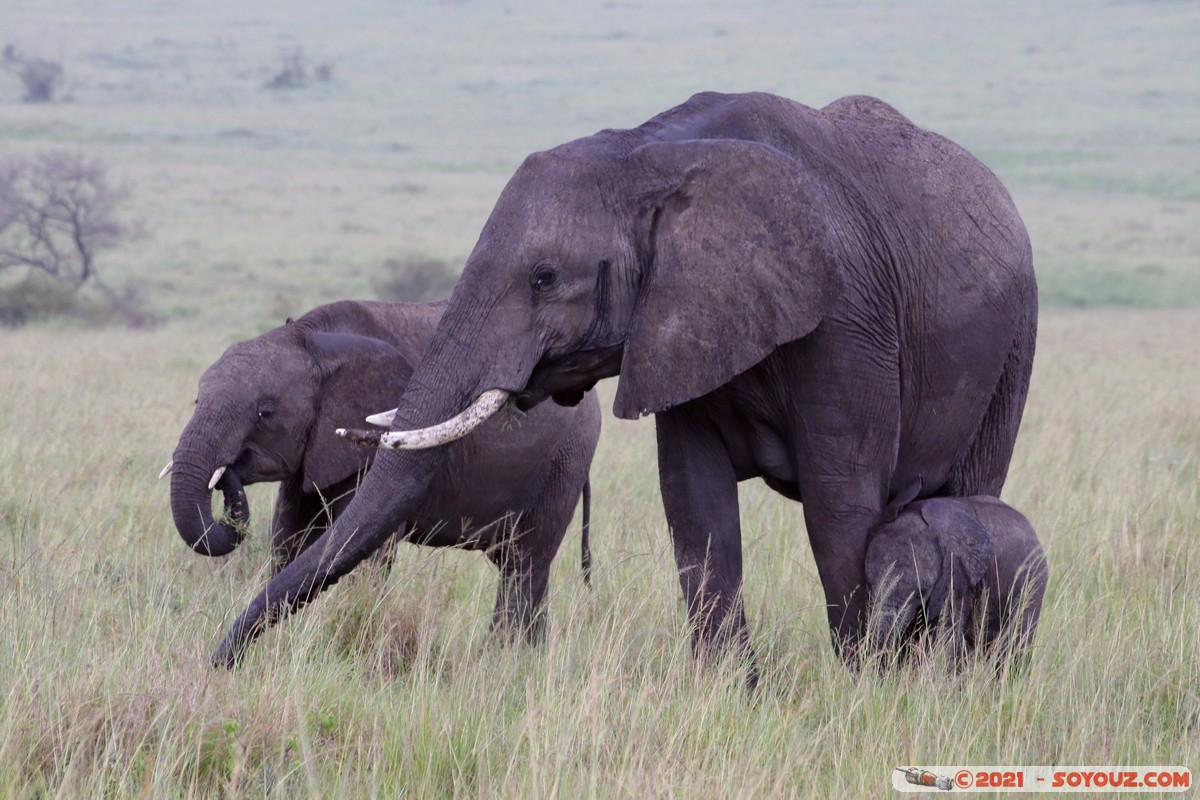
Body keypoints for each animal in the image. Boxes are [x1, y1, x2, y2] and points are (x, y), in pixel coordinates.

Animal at [162, 299, 600, 642]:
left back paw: (502, 660)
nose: (228, 471)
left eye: (264, 413)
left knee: (524, 565)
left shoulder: (372, 445)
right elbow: (289, 540)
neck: (311, 340)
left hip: (565, 461)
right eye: (198, 398)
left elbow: (362, 551)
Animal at [213, 90, 1032, 671]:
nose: (222, 662)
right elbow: (695, 507)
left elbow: (840, 509)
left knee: (969, 488)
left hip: (1015, 340)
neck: (649, 152)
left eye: (544, 278)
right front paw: (730, 695)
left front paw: (866, 687)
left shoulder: (844, 316)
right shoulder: (681, 323)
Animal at [864, 484, 1051, 666]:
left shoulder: (957, 575)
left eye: (923, 590)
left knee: (1013, 647)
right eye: (870, 583)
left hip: (1032, 583)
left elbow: (945, 635)